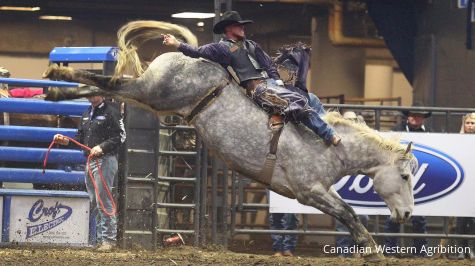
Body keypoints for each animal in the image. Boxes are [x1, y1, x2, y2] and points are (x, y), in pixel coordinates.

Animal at [44, 21, 416, 262]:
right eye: (405, 175)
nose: (408, 213)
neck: (331, 147)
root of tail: (189, 55)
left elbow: (348, 212)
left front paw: (371, 249)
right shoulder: (309, 190)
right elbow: (349, 212)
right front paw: (373, 251)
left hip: (151, 98)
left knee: (110, 86)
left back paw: (57, 86)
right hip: (154, 91)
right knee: (112, 83)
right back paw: (57, 79)